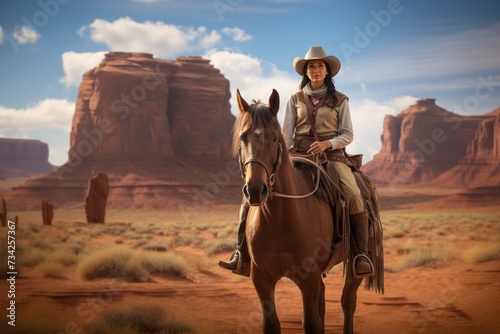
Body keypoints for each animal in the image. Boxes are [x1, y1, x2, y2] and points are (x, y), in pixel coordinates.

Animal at [232, 88, 366, 334]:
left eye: (275, 138)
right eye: (243, 137)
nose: (255, 190)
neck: (278, 219)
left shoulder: (308, 278)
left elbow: (311, 323)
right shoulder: (261, 278)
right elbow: (272, 324)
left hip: (355, 262)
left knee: (348, 301)